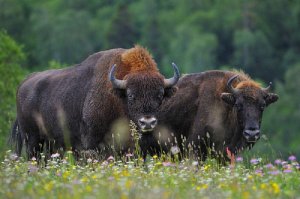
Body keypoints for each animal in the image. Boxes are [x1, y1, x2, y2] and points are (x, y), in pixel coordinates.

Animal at [11, 45, 180, 159]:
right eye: (131, 95)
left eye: (160, 95)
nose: (148, 122)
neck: (117, 96)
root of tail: (24, 83)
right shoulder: (92, 142)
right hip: (32, 140)